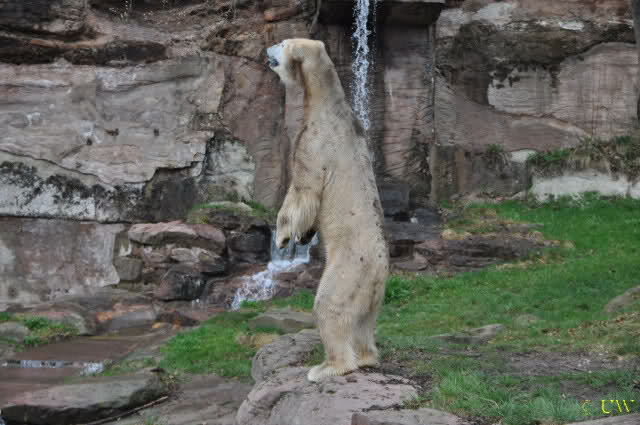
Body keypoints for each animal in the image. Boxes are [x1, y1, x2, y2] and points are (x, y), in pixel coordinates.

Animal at [266, 39, 390, 382]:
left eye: (282, 43)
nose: (266, 50)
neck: (330, 104)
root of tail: (380, 271)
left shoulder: (314, 143)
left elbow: (303, 192)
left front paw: (283, 235)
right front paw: (304, 236)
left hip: (350, 269)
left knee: (329, 306)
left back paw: (327, 367)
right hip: (371, 291)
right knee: (364, 323)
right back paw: (366, 356)